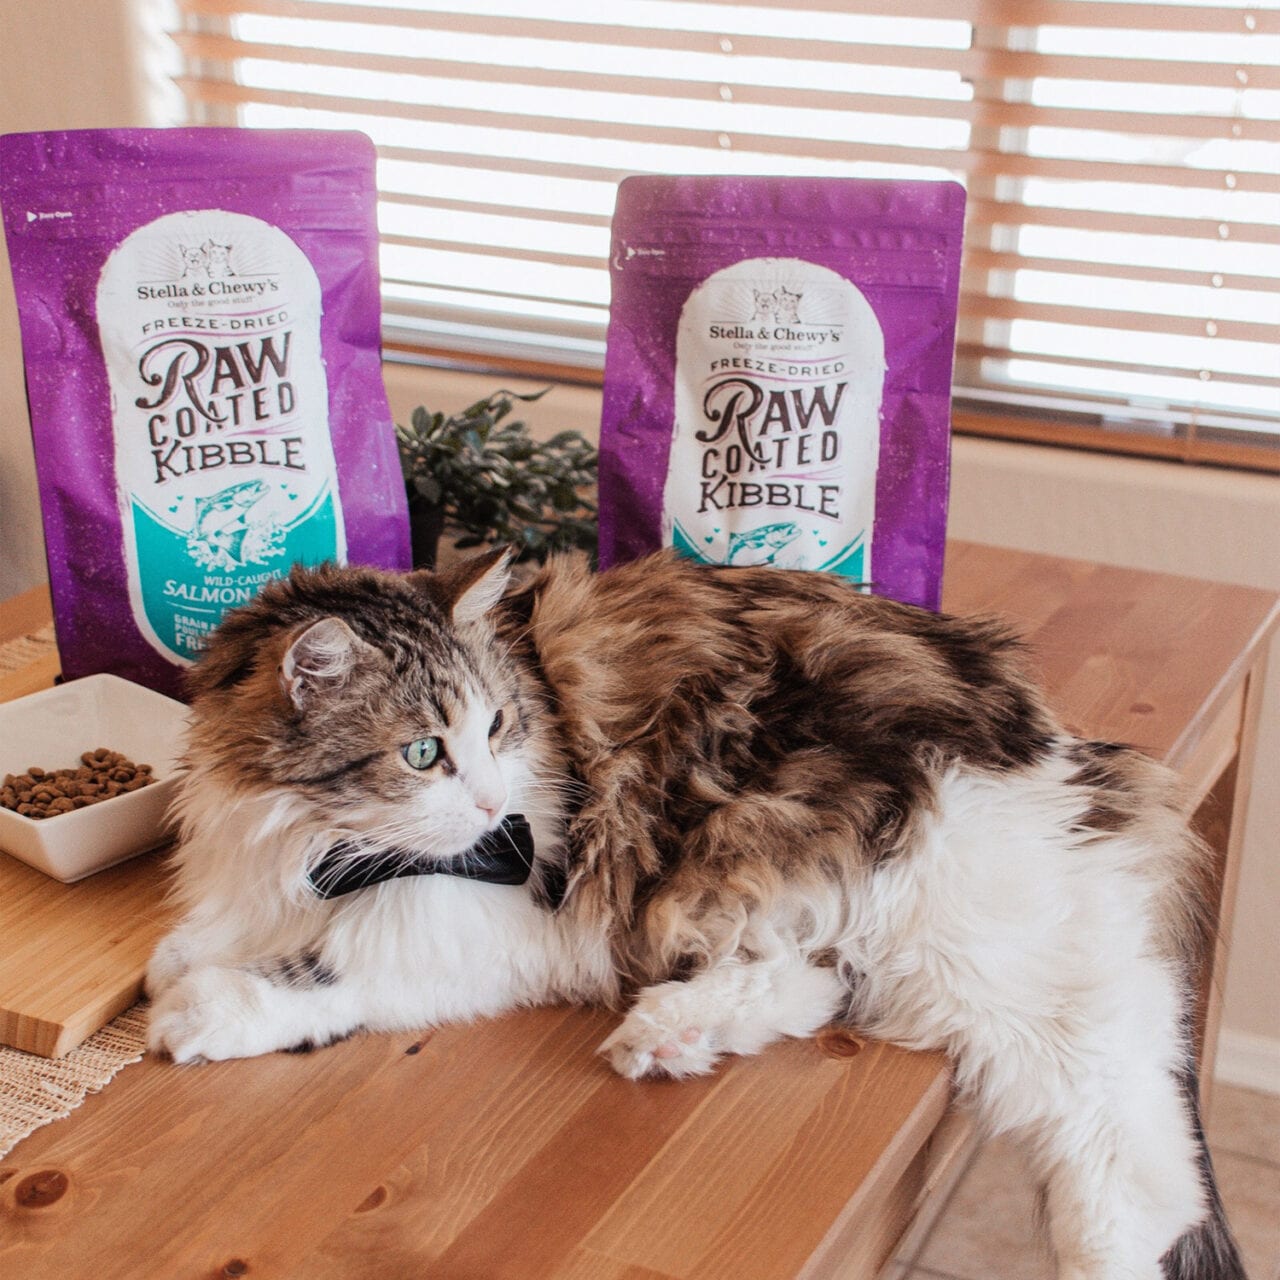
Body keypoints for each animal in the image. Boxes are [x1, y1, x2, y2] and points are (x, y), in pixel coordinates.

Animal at [145, 550, 1244, 1280]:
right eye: (424, 751)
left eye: (497, 726)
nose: (493, 803)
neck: (314, 840)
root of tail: (1066, 751)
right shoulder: (249, 865)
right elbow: (203, 934)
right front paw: (180, 963)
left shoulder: (503, 909)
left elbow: (337, 963)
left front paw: (204, 1010)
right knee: (820, 981)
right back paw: (671, 1033)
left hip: (973, 952)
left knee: (1131, 1156)